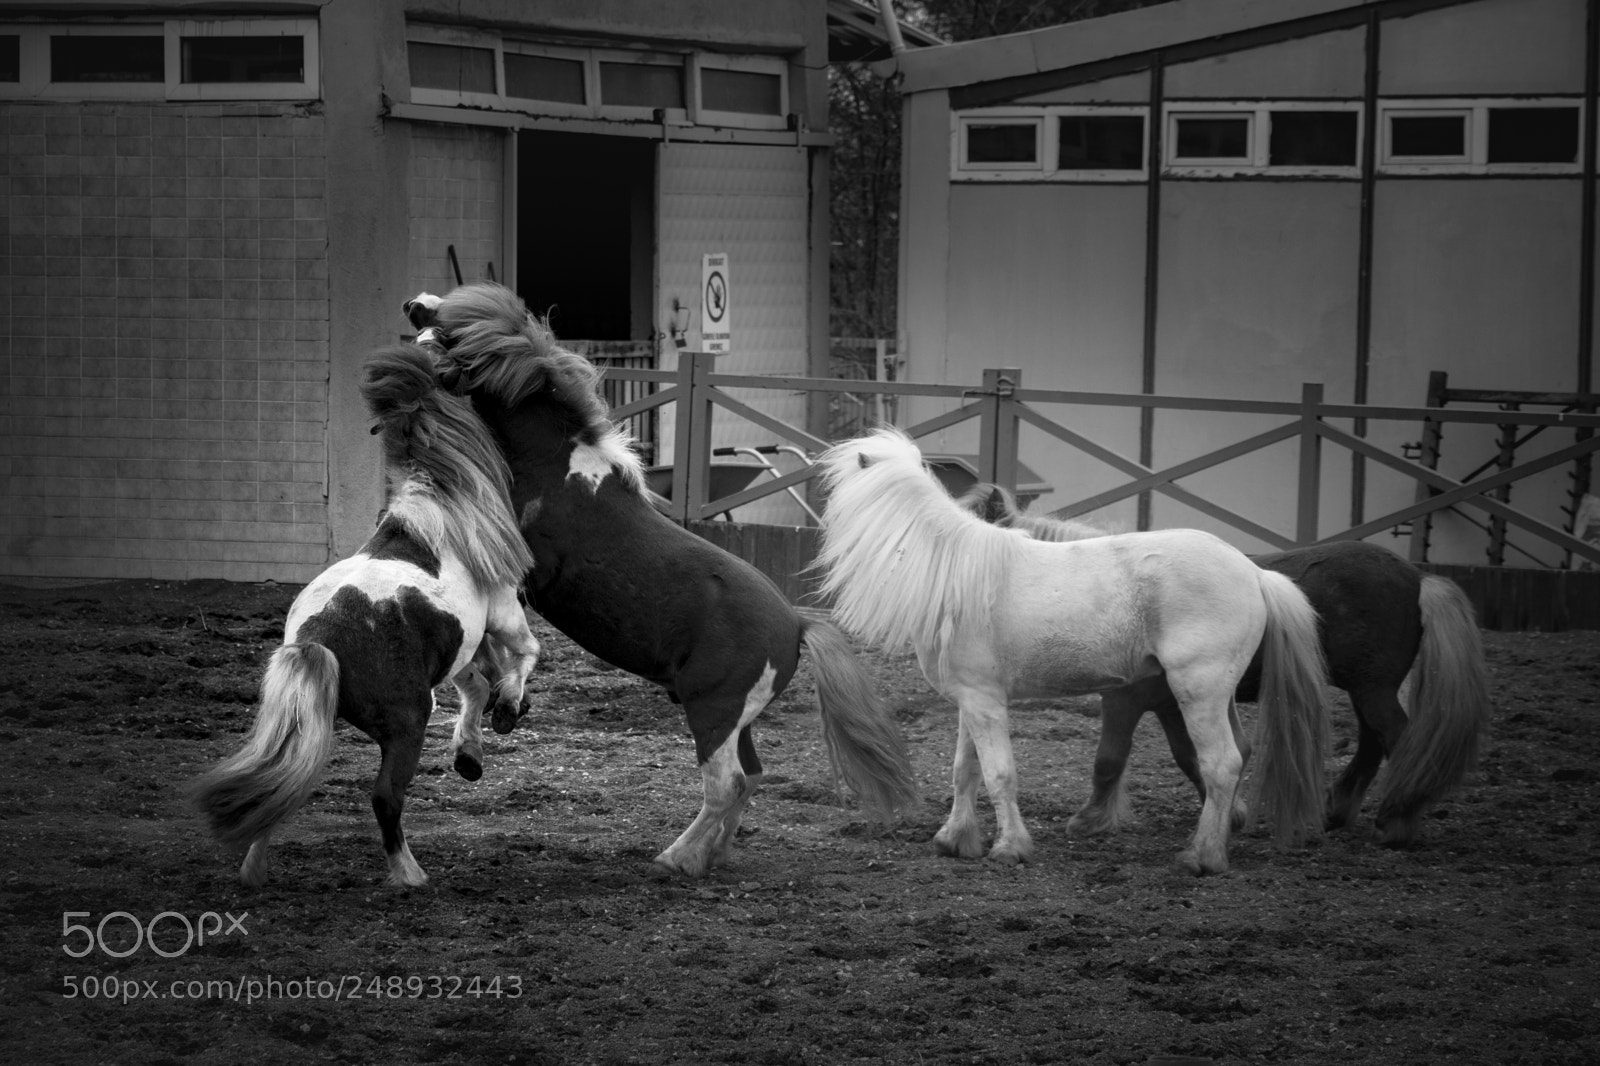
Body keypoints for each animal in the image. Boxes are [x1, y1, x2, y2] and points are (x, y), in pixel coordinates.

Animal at [191, 344, 541, 888]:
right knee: (385, 799)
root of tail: (317, 640)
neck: (438, 512)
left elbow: (477, 685)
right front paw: (508, 709)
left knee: (277, 792)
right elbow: (523, 657)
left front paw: (470, 754)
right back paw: (410, 875)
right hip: (406, 725)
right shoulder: (503, 608)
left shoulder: (460, 645)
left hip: (302, 729)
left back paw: (253, 871)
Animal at [422, 281, 920, 878]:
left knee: (727, 784)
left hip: (713, 712)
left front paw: (501, 708)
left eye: (452, 331)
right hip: (734, 719)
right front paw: (490, 720)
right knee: (751, 777)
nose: (413, 307)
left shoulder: (520, 572)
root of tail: (797, 626)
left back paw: (675, 858)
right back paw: (711, 856)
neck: (560, 471)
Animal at [813, 428, 1332, 876]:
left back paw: (1201, 857)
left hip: (1197, 691)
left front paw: (1010, 848)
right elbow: (965, 770)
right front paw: (954, 840)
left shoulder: (985, 703)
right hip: (1215, 696)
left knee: (1221, 764)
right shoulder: (971, 701)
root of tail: (1255, 573)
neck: (954, 572)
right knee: (1235, 756)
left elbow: (999, 774)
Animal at [961, 483, 1490, 846]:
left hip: (1372, 688)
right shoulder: (1170, 701)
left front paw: (1091, 818)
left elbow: (1109, 758)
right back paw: (1340, 811)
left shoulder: (1126, 697)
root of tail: (1418, 579)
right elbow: (1191, 757)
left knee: (1399, 738)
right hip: (1366, 689)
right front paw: (1227, 814)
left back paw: (1397, 818)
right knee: (1372, 742)